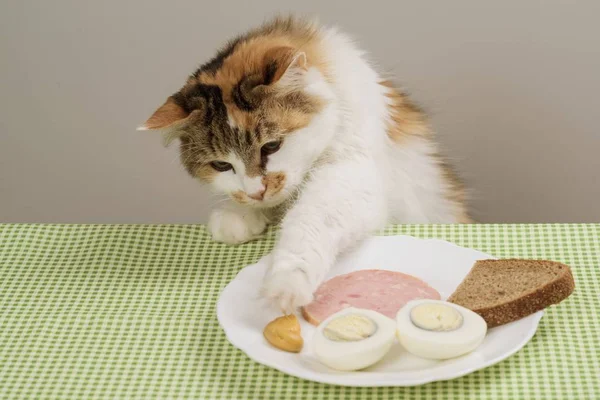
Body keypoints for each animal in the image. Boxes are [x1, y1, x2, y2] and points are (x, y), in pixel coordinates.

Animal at [138, 16, 472, 312]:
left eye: (271, 147)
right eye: (221, 165)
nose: (257, 191)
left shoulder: (350, 173)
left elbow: (307, 224)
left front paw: (286, 282)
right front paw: (238, 216)